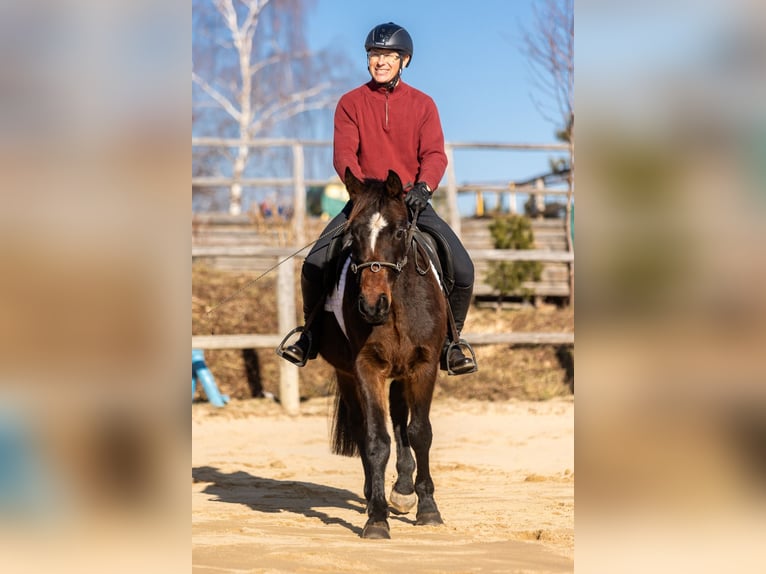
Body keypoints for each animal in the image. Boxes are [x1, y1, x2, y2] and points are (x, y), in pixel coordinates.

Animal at [320, 169, 450, 544]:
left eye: (400, 231)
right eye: (353, 234)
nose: (371, 305)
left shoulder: (423, 366)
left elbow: (420, 432)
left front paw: (428, 509)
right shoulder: (368, 368)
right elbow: (377, 440)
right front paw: (377, 518)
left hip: (402, 372)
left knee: (401, 420)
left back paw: (404, 491)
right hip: (349, 376)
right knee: (362, 427)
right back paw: (373, 496)